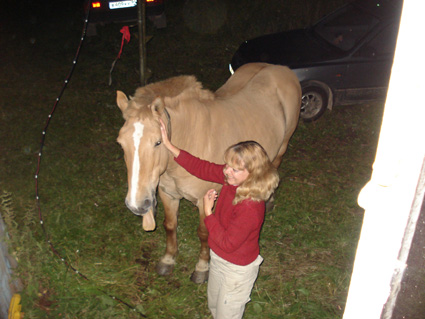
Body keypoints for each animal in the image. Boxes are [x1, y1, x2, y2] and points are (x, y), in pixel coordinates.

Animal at [116, 63, 302, 284]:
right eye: (121, 143)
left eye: (158, 142)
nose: (137, 205)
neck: (188, 138)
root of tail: (280, 68)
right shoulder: (167, 194)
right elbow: (170, 225)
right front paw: (168, 260)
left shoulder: (203, 200)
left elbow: (204, 233)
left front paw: (202, 268)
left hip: (282, 146)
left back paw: (268, 201)